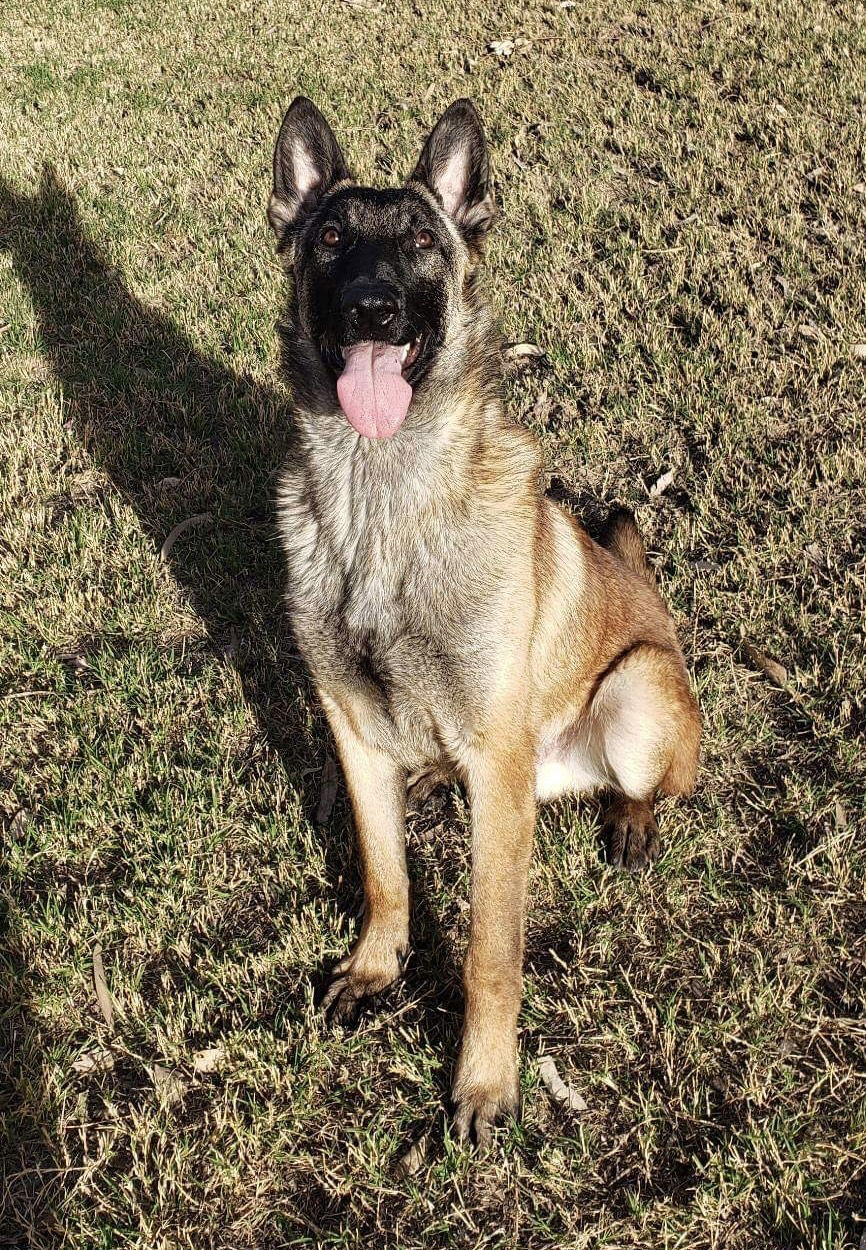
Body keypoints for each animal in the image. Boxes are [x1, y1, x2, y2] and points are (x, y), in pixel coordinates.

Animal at [267, 97, 699, 1145]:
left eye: (422, 241)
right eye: (330, 239)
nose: (372, 309)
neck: (382, 500)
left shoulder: (497, 766)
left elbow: (489, 953)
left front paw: (485, 1083)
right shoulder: (350, 727)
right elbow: (384, 873)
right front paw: (375, 970)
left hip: (633, 695)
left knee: (655, 783)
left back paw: (631, 819)